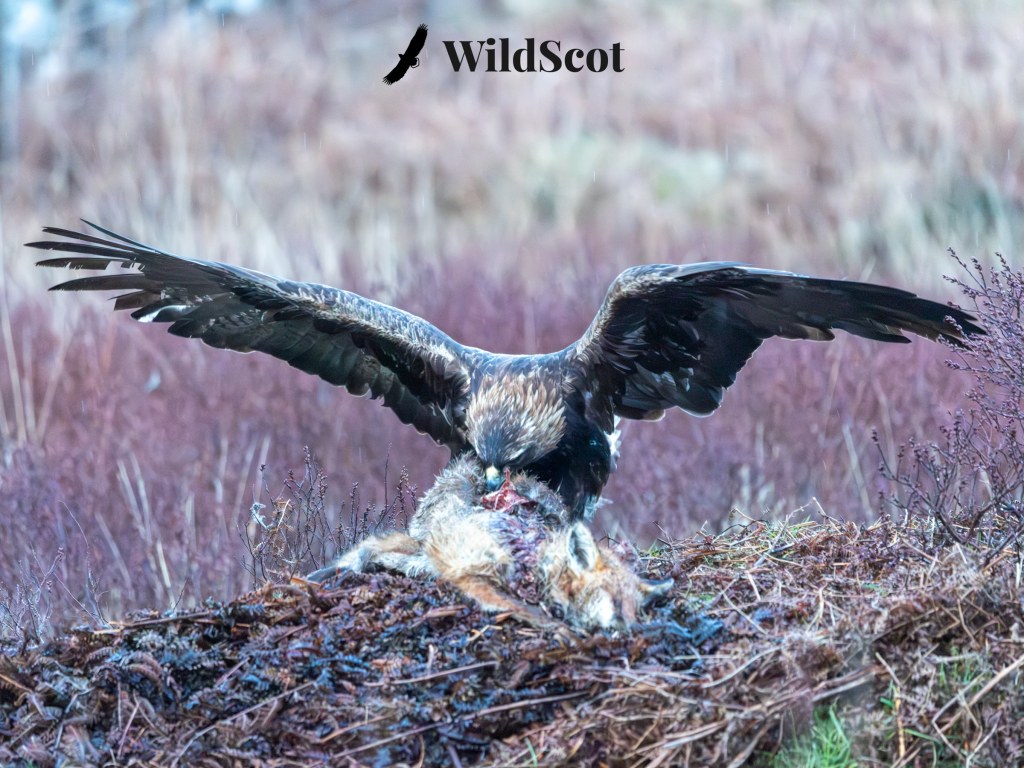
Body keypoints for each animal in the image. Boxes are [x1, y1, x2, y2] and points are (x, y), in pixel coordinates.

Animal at [308, 456, 672, 632]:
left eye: (635, 609)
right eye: (613, 600)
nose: (630, 630)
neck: (534, 557)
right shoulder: (473, 574)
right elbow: (531, 613)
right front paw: (565, 631)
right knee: (372, 550)